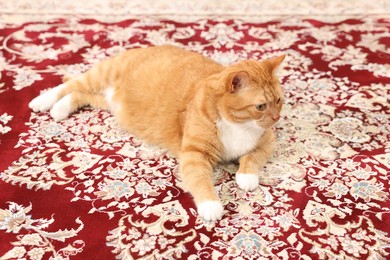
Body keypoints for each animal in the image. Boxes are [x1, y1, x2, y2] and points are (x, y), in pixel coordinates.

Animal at [29, 45, 284, 221]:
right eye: (261, 106)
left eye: (279, 101)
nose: (276, 118)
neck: (239, 125)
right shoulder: (194, 154)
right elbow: (200, 179)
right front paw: (210, 205)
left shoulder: (268, 140)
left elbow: (253, 157)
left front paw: (246, 176)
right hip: (102, 74)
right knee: (69, 85)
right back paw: (43, 101)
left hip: (109, 103)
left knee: (78, 95)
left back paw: (60, 109)